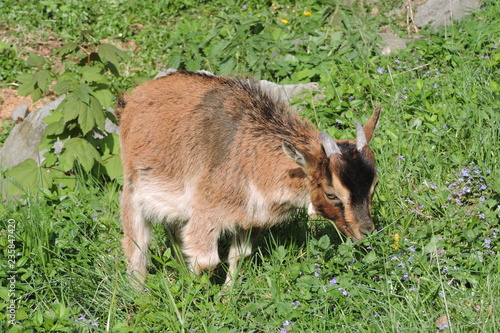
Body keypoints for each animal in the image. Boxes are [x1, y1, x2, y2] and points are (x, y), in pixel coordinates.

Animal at [119, 70, 380, 282]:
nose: (366, 232)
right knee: (137, 245)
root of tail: (136, 96)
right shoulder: (205, 212)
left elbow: (240, 256)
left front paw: (226, 297)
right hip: (132, 188)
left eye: (374, 186)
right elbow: (205, 261)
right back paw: (138, 291)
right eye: (331, 194)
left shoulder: (250, 218)